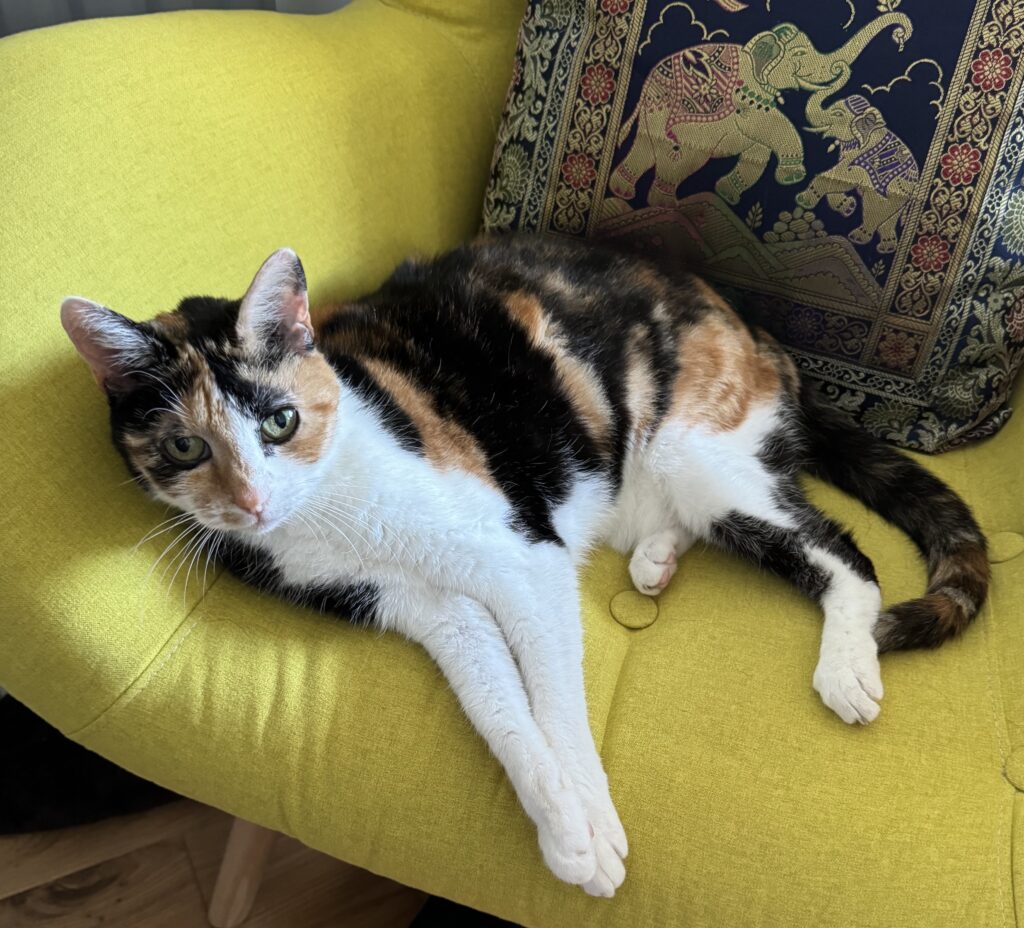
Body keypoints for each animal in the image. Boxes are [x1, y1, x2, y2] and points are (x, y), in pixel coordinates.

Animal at [61, 235, 983, 893]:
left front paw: (595, 825)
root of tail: (755, 329)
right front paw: (566, 832)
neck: (336, 516)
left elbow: (558, 704)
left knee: (845, 554)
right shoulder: (427, 608)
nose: (252, 502)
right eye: (185, 446)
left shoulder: (520, 557)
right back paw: (655, 560)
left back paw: (847, 669)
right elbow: (500, 708)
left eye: (280, 421)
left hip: (698, 450)